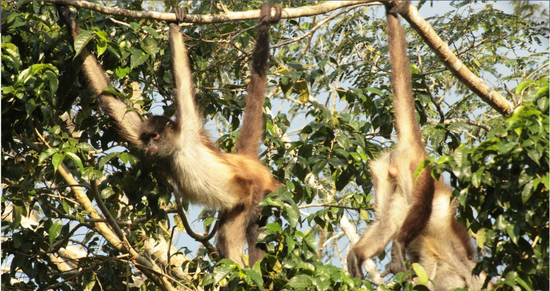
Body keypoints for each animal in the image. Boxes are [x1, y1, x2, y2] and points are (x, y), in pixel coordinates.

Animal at [59, 2, 282, 268]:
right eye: (147, 139)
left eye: (156, 137)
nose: (149, 147)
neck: (177, 150)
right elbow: (113, 104)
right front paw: (70, 22)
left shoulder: (189, 128)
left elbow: (182, 82)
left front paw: (176, 24)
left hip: (256, 194)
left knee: (242, 231)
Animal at [350, 1, 492, 290]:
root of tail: (416, 149)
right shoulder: (469, 275)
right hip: (416, 170)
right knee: (422, 205)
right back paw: (398, 244)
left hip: (387, 171)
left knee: (385, 222)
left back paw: (356, 255)